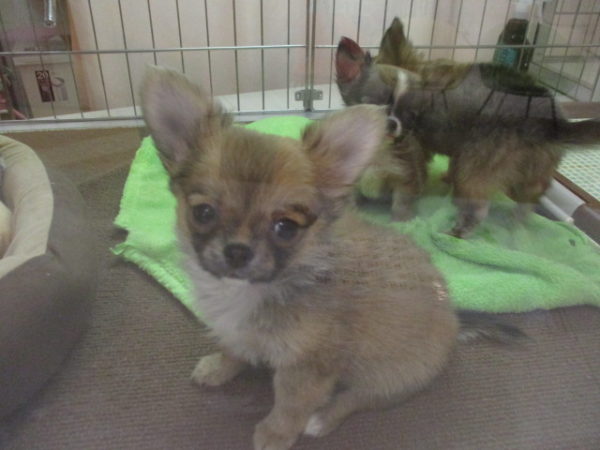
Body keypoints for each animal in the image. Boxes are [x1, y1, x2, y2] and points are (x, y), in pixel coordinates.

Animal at [141, 67, 525, 450]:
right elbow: (234, 348)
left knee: (359, 399)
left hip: (387, 375)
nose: (237, 250)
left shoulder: (309, 367)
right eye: (203, 213)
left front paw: (276, 434)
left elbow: (290, 403)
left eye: (285, 228)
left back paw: (323, 419)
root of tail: (455, 319)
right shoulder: (238, 331)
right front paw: (218, 367)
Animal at [337, 18, 600, 237]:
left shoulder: (416, 148)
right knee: (531, 197)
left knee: (480, 206)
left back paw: (458, 231)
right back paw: (516, 224)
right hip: (536, 169)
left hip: (476, 167)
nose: (391, 124)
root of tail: (552, 122)